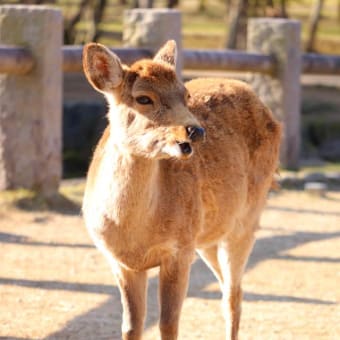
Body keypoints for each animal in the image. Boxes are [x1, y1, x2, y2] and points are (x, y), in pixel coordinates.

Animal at [82, 40, 282, 340]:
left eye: (184, 95)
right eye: (143, 98)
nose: (195, 131)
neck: (134, 235)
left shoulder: (179, 252)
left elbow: (168, 323)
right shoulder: (120, 261)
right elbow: (131, 326)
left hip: (246, 219)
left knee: (233, 293)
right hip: (207, 235)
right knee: (226, 287)